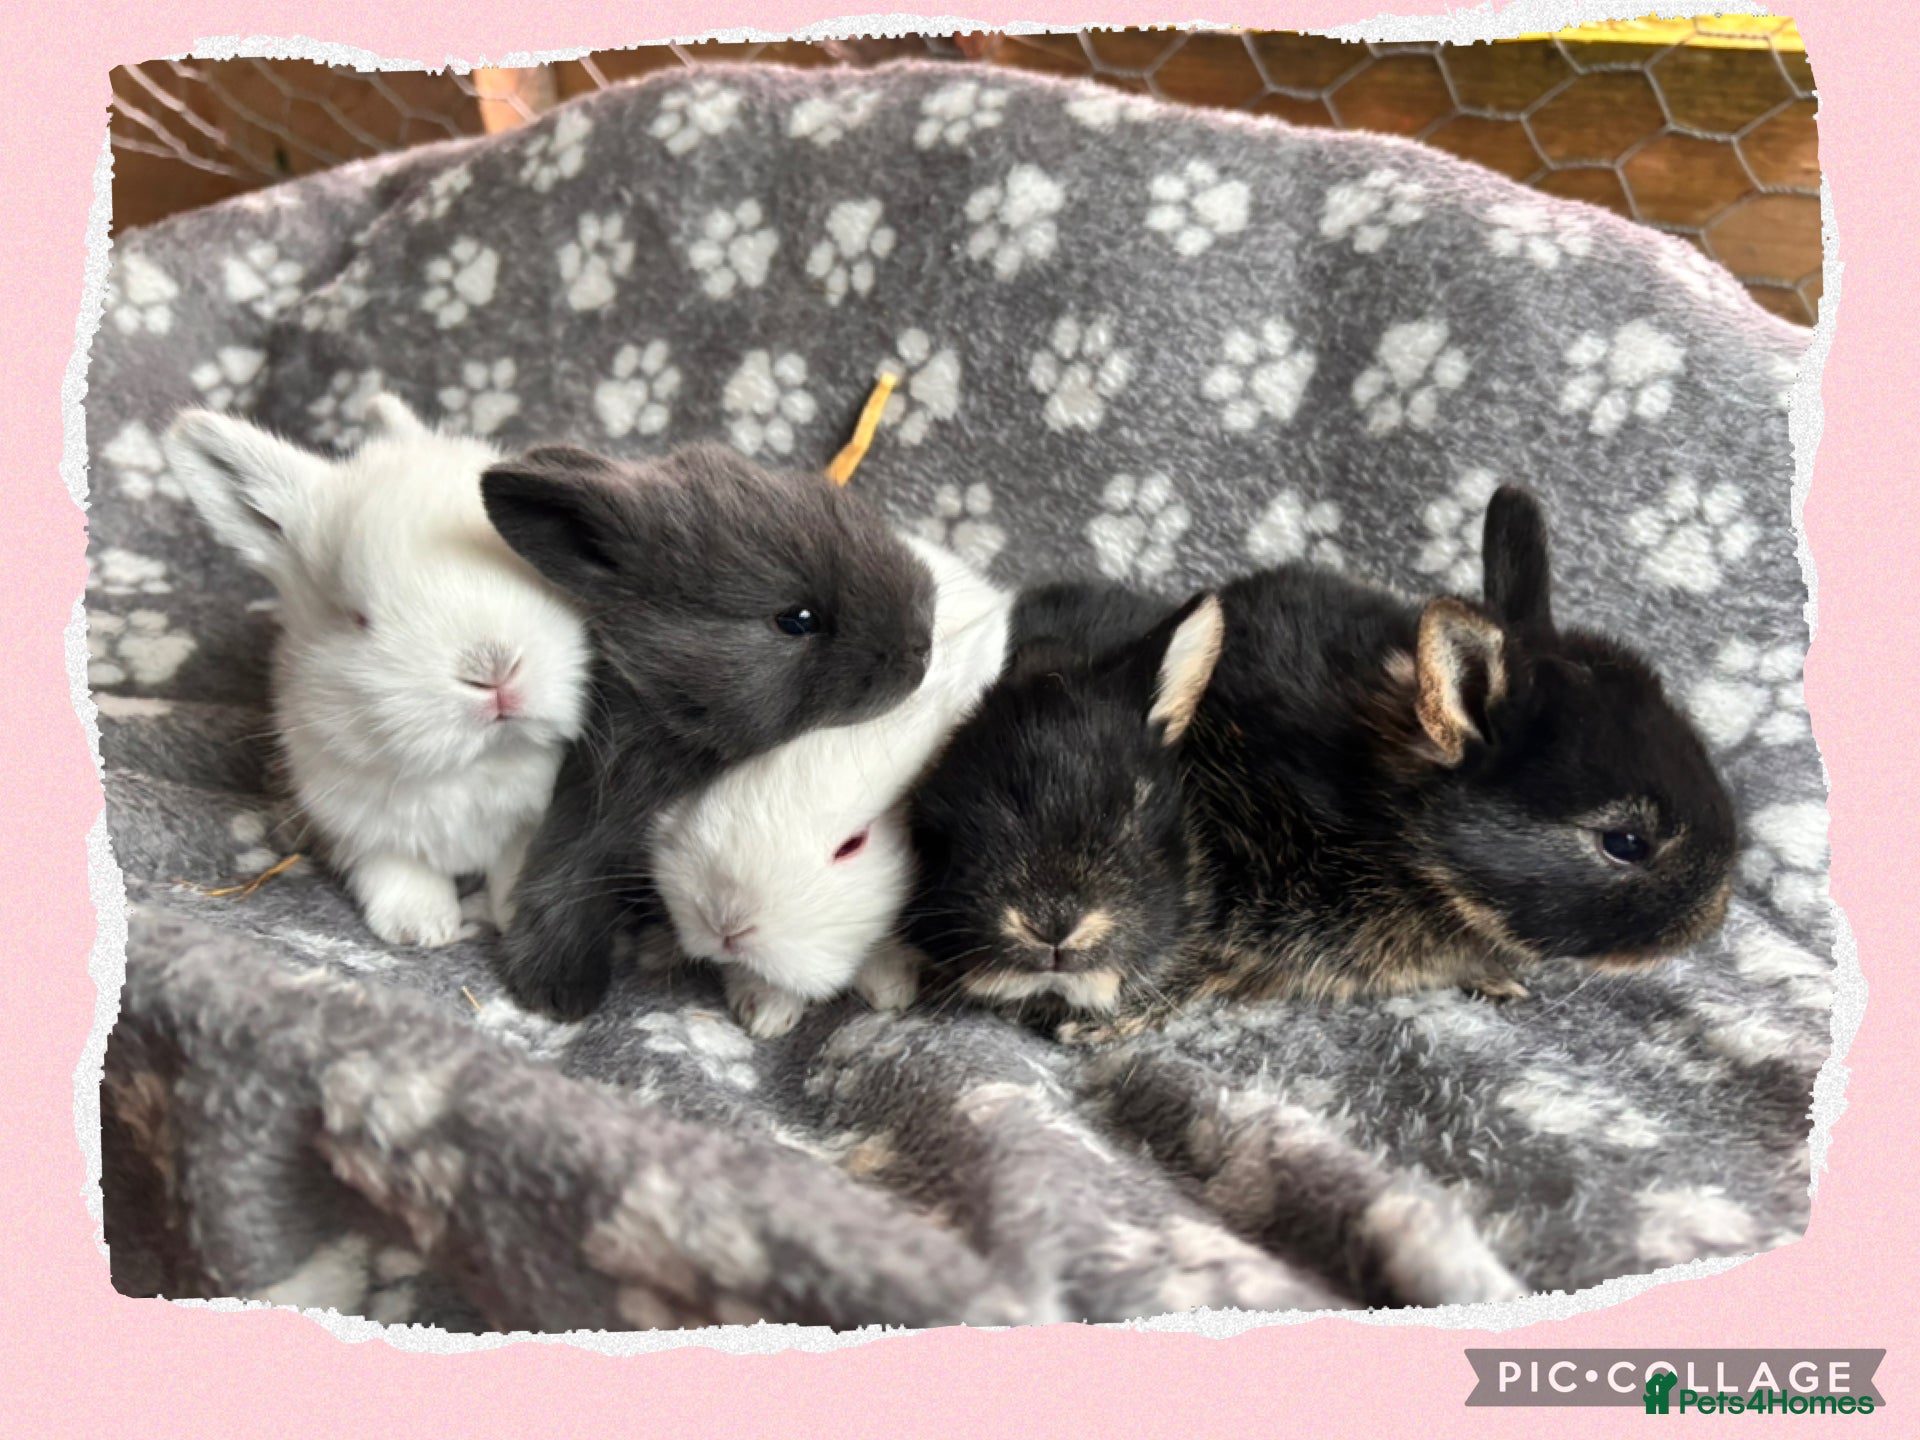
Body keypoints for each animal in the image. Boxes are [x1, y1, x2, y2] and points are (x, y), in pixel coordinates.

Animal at [163, 395, 591, 948]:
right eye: (359, 618)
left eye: (537, 573)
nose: (494, 668)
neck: (470, 765)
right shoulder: (357, 824)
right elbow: (395, 871)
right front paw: (417, 929)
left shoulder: (531, 820)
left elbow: (514, 866)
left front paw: (509, 917)